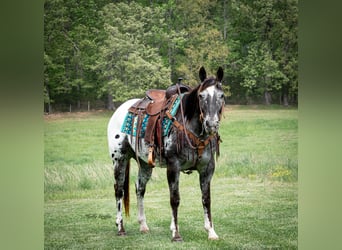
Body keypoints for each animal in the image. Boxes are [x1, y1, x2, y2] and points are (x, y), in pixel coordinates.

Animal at [107, 66, 224, 242]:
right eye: (201, 96)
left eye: (221, 95)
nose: (211, 124)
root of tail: (122, 109)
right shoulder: (173, 167)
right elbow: (174, 199)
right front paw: (176, 234)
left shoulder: (207, 168)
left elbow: (206, 199)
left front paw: (211, 232)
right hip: (119, 159)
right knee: (119, 190)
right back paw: (120, 228)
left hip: (145, 164)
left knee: (140, 188)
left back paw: (143, 225)